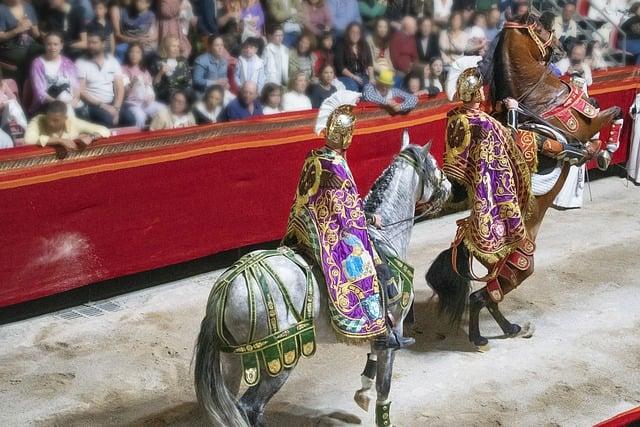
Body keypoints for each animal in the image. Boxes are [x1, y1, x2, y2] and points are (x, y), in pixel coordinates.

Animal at [194, 133, 450, 424]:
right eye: (434, 165)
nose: (450, 187)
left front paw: (363, 391)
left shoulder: (379, 330)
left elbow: (373, 356)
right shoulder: (395, 328)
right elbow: (385, 385)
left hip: (232, 362)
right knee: (249, 407)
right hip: (277, 362)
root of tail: (226, 290)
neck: (385, 236)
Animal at [428, 12, 624, 348]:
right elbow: (614, 111)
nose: (561, 49)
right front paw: (604, 151)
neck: (538, 98)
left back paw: (509, 328)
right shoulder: (586, 122)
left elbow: (604, 113)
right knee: (481, 297)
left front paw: (595, 152)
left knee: (489, 297)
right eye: (544, 28)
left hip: (502, 267)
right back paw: (481, 338)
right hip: (522, 265)